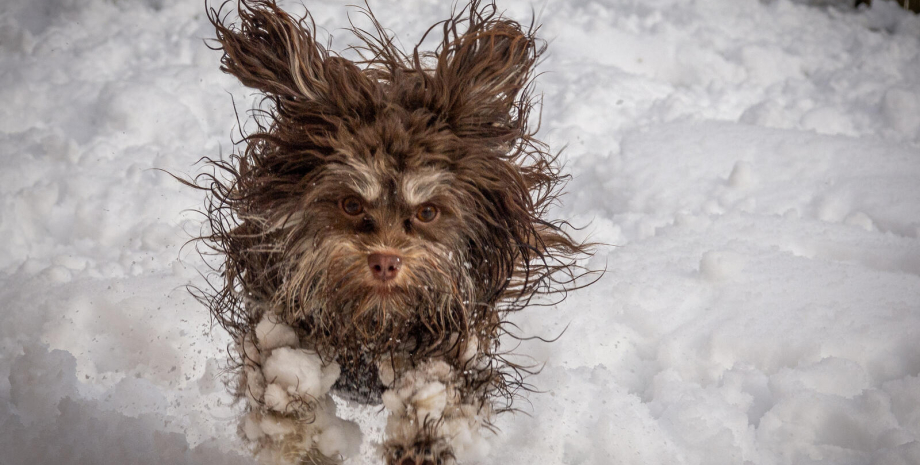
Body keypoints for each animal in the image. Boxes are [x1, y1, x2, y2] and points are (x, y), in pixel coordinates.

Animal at [194, 1, 588, 462]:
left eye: (428, 212)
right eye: (351, 204)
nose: (385, 261)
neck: (373, 323)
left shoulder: (453, 336)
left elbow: (439, 391)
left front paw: (423, 443)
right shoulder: (276, 315)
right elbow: (283, 382)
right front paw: (301, 443)